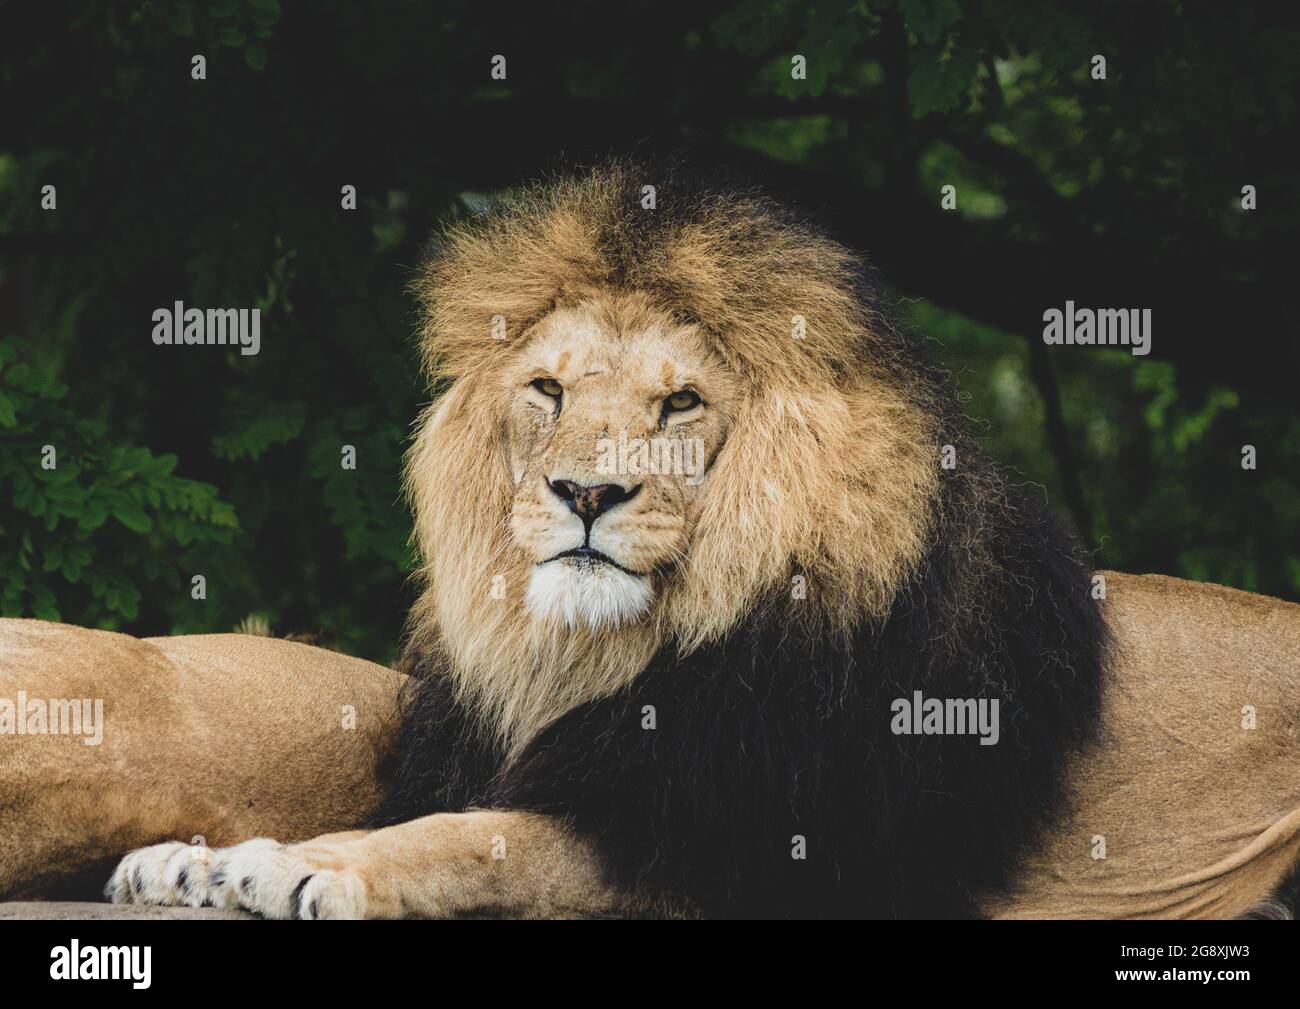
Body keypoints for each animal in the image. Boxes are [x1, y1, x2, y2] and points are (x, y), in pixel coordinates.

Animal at [3, 162, 1300, 918]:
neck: (603, 655)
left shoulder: (736, 844)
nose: (586, 491)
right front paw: (191, 858)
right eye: (546, 390)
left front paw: (289, 865)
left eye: (680, 404)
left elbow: (484, 839)